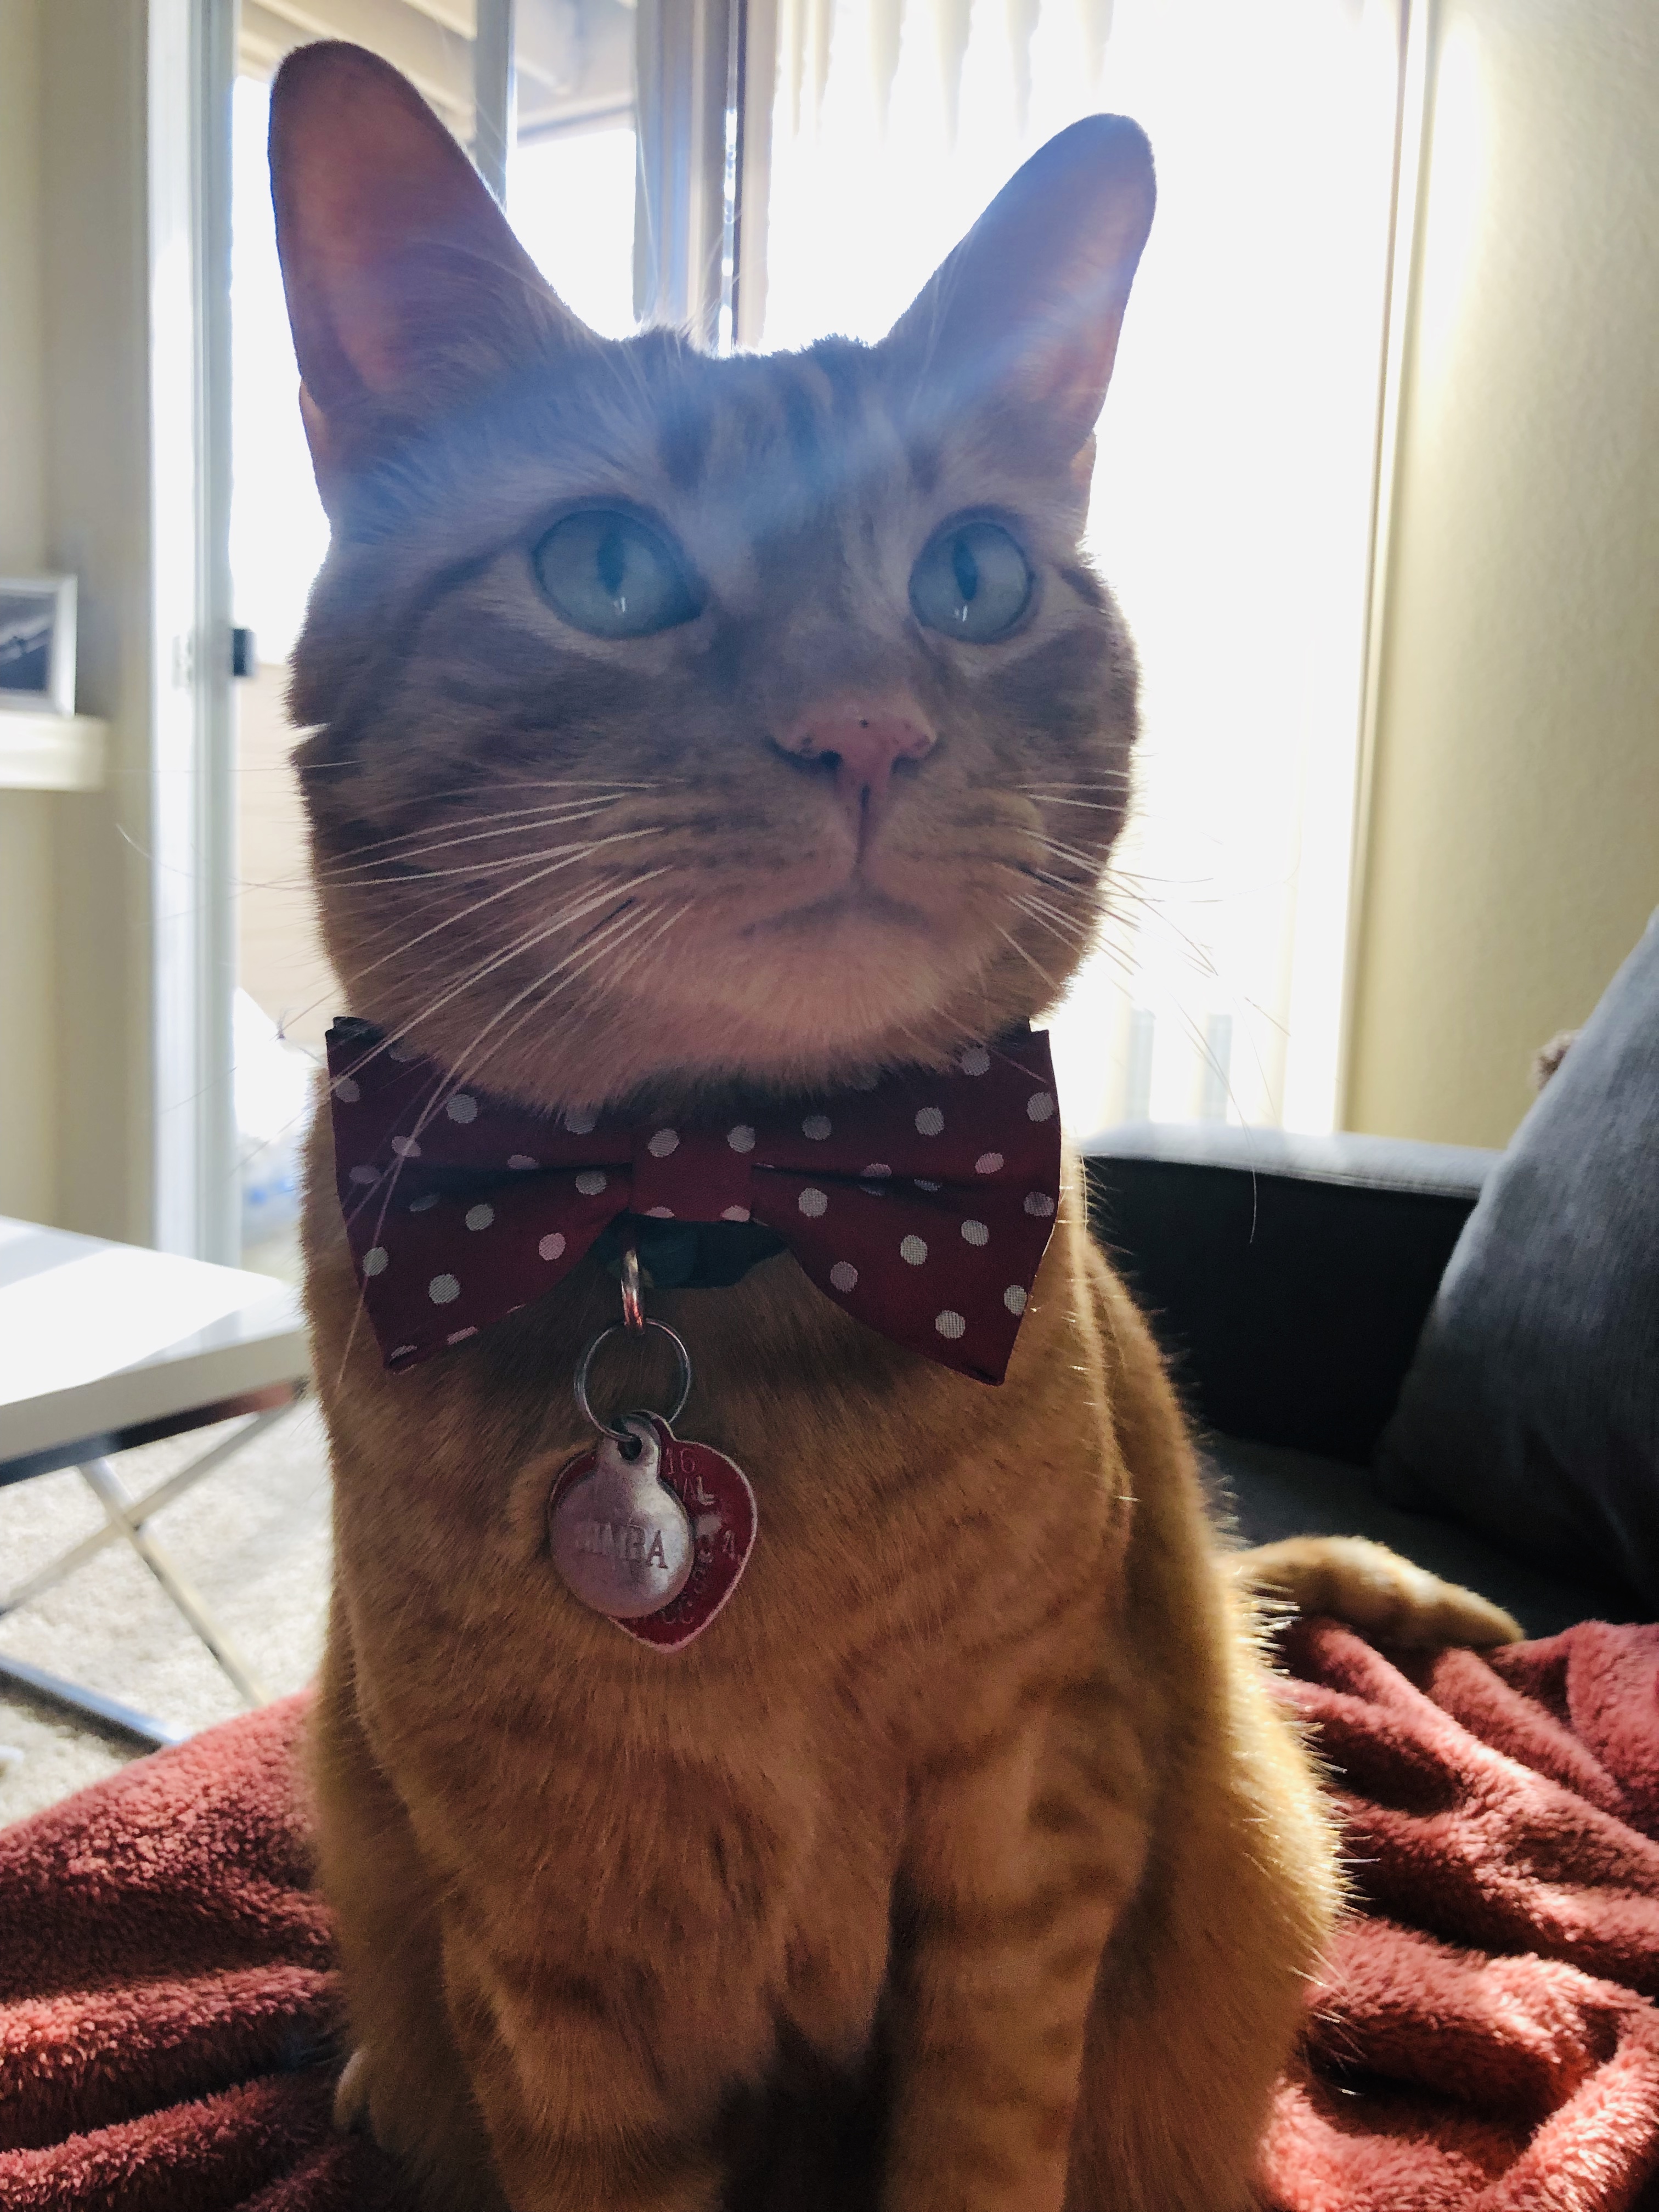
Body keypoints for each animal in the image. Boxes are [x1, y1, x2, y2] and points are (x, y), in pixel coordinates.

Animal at [274, 41, 1517, 2212]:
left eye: (973, 578)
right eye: (606, 569)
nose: (868, 724)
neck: (715, 1226)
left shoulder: (1028, 1827)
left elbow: (980, 2143)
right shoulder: (546, 1928)